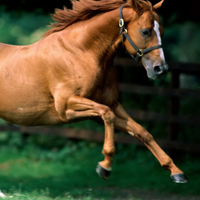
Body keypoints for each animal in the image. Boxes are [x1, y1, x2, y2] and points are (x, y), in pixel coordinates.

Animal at [0, 0, 188, 184]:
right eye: (145, 31)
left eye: (162, 31)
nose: (160, 69)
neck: (80, 52)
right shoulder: (66, 107)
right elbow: (107, 114)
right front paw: (105, 166)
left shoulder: (110, 104)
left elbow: (141, 131)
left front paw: (176, 172)